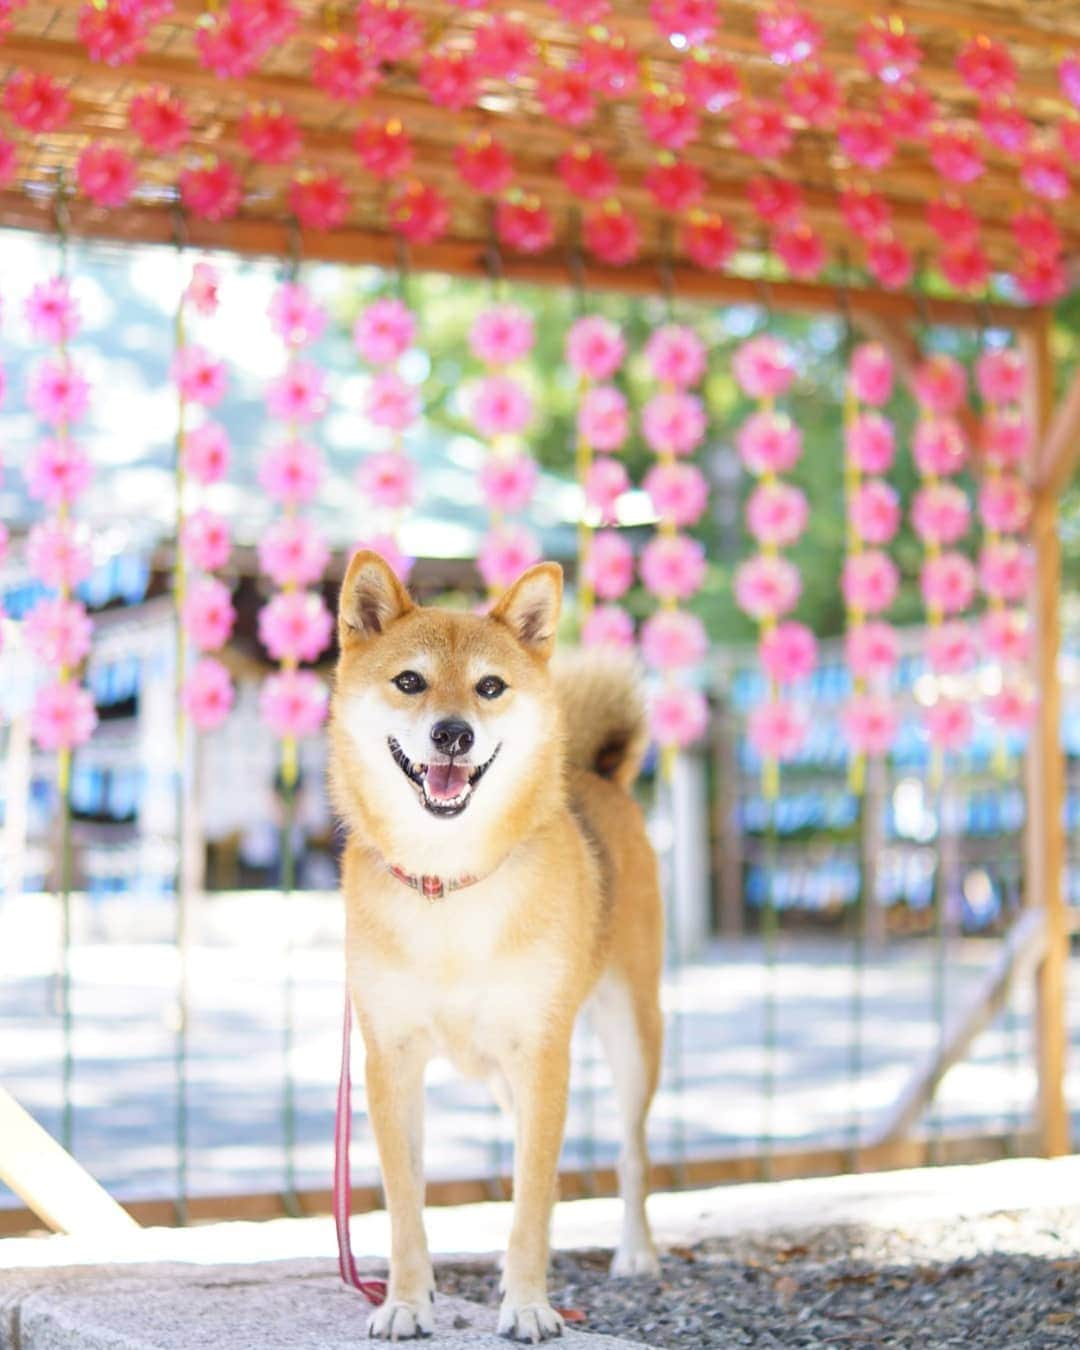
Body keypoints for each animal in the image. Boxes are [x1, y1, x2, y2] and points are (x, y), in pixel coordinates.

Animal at [329, 548, 666, 1339]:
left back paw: (635, 1253)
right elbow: (406, 1206)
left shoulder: (541, 1054)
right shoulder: (390, 1061)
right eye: (410, 681)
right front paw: (405, 1302)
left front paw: (530, 1305)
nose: (454, 733)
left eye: (489, 687)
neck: (448, 884)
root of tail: (597, 775)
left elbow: (531, 1201)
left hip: (631, 1032)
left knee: (630, 1155)